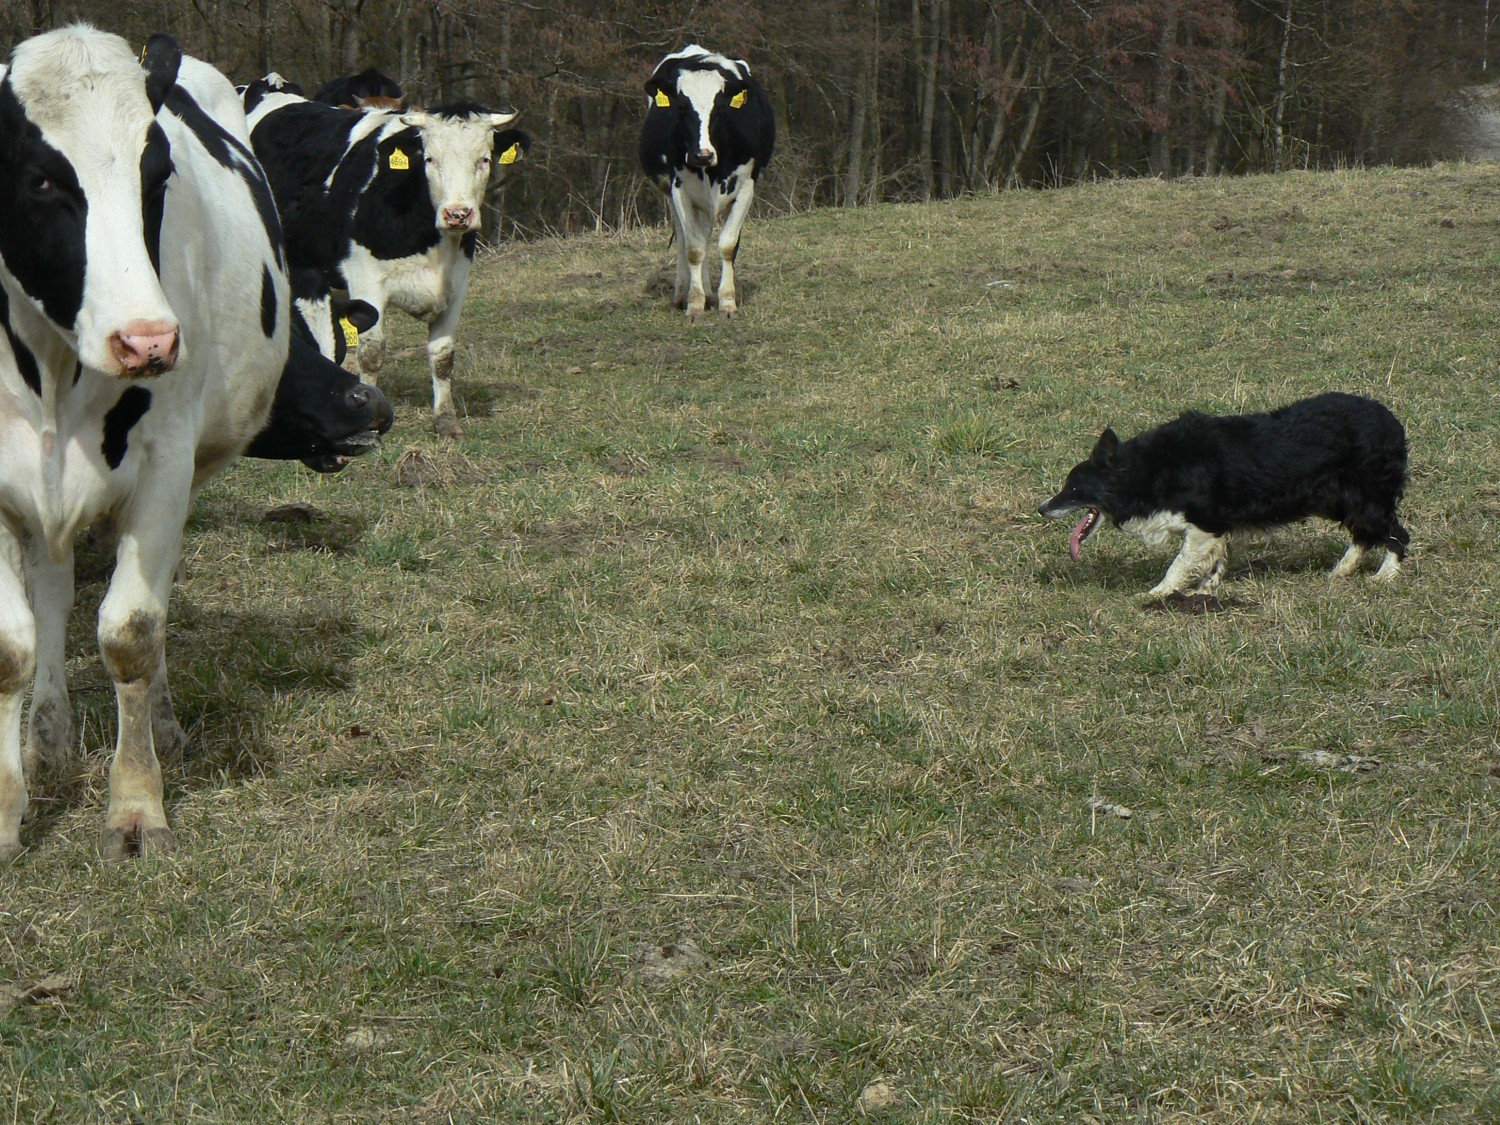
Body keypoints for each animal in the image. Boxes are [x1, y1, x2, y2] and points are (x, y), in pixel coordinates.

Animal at [0, 28, 307, 860]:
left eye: (157, 169)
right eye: (40, 180)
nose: (147, 340)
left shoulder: (166, 462)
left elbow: (132, 630)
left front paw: (137, 805)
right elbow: (13, 644)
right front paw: (8, 807)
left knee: (150, 599)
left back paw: (162, 729)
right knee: (53, 591)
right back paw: (48, 742)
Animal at [246, 79, 529, 438]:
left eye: (484, 159)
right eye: (430, 159)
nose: (457, 214)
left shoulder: (457, 284)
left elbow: (443, 355)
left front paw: (446, 421)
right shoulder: (366, 281)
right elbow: (372, 350)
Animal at [639, 45, 775, 322]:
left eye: (721, 107)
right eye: (682, 107)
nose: (702, 154)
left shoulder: (746, 186)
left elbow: (727, 245)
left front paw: (727, 302)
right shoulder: (679, 188)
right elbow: (694, 248)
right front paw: (694, 304)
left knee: (706, 233)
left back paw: (710, 294)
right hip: (673, 194)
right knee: (684, 237)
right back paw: (684, 293)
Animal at [1039, 392, 1410, 595]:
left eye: (1073, 488)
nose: (1042, 508)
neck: (1148, 470)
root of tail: (1391, 420)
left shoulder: (1206, 523)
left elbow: (1180, 563)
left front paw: (1157, 593)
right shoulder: (1212, 529)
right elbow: (1213, 561)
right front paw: (1205, 590)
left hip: (1364, 497)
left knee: (1396, 534)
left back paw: (1385, 576)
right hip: (1335, 499)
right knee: (1364, 535)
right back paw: (1340, 572)